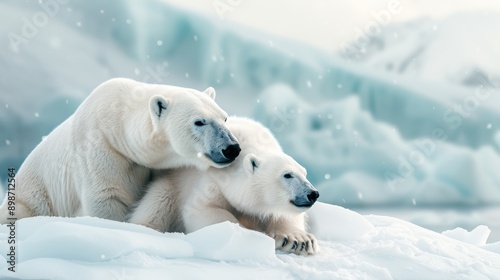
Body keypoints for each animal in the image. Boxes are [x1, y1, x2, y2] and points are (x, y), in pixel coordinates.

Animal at [0, 77, 242, 222]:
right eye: (199, 122)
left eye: (224, 118)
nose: (232, 148)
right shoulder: (101, 149)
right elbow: (107, 197)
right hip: (34, 198)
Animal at [127, 117, 318, 255]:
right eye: (287, 175)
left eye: (304, 173)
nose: (313, 193)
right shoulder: (213, 182)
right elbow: (202, 210)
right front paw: (246, 234)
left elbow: (284, 215)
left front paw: (298, 240)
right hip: (169, 184)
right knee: (157, 204)